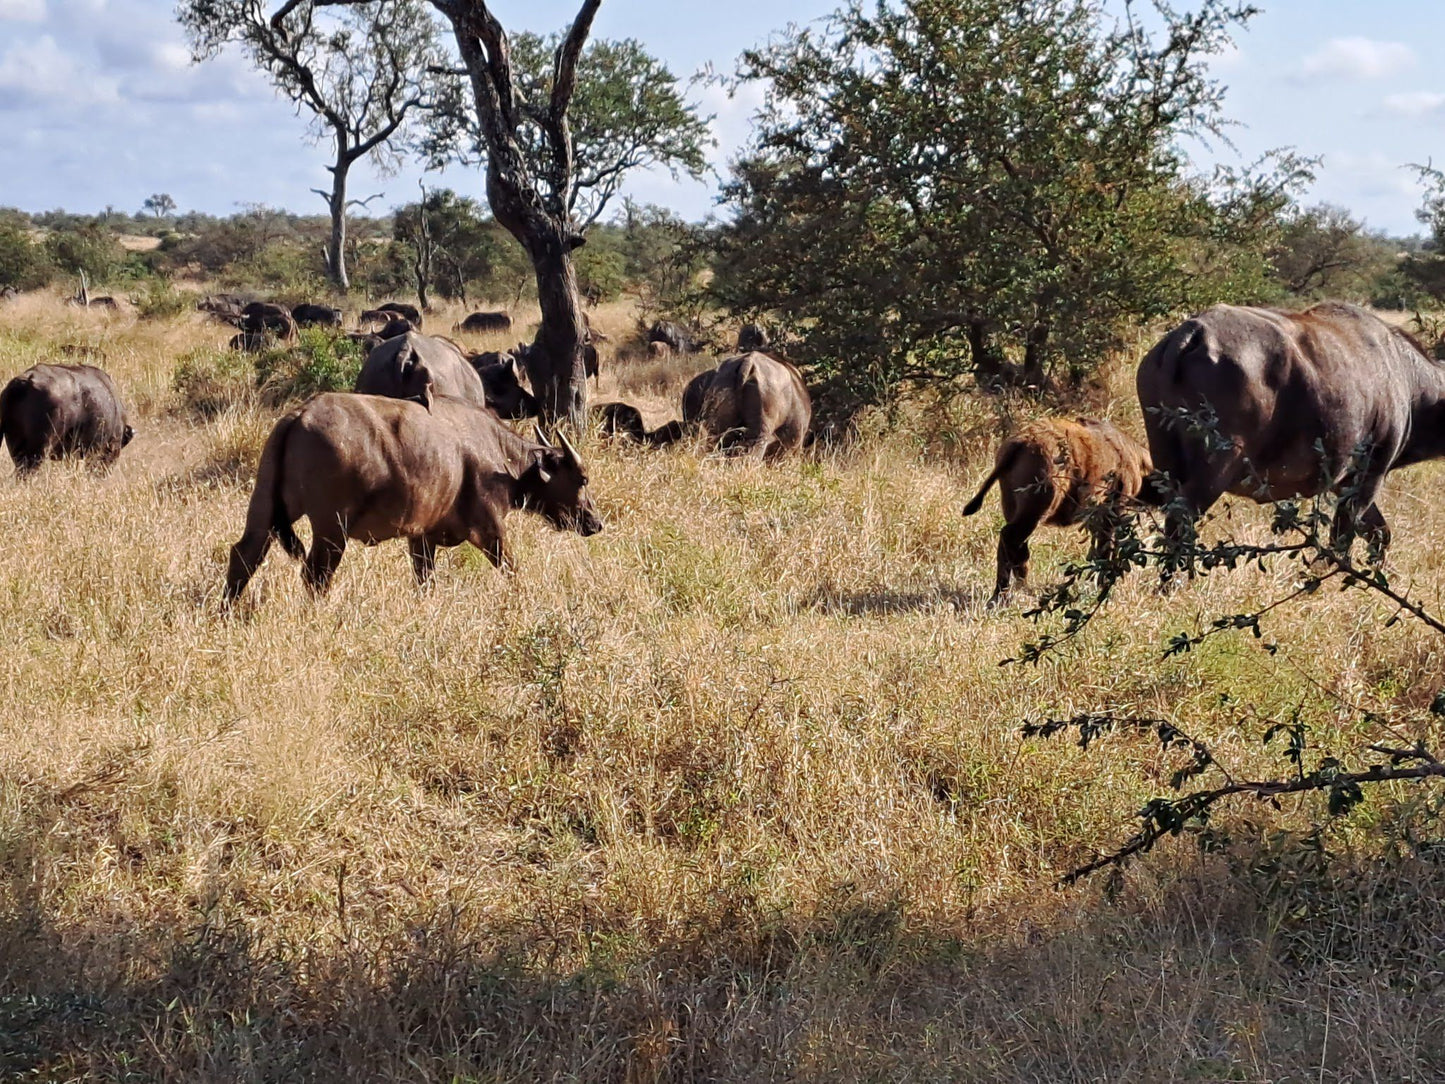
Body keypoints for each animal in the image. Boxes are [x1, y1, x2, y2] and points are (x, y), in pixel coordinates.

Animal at [223, 396, 604, 607]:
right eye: (582, 479)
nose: (595, 522)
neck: (498, 455)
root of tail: (300, 415)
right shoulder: (490, 530)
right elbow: (512, 569)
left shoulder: (421, 539)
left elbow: (425, 582)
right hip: (332, 530)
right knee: (315, 574)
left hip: (265, 511)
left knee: (244, 555)